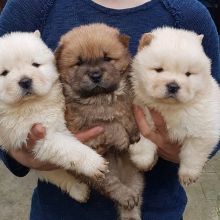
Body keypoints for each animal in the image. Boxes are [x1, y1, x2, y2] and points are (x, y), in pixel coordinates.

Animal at [0, 31, 108, 202]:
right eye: (4, 73)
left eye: (35, 64)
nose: (25, 81)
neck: (32, 104)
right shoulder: (36, 136)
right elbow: (69, 148)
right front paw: (94, 162)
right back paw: (79, 189)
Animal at [55, 23, 144, 220]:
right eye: (79, 63)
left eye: (107, 58)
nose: (95, 75)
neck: (102, 97)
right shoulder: (82, 130)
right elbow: (108, 124)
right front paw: (123, 138)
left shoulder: (128, 101)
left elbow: (129, 112)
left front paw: (134, 132)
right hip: (101, 168)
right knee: (111, 186)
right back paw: (126, 196)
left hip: (134, 175)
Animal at [130, 27, 220, 186]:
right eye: (158, 69)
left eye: (188, 73)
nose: (173, 86)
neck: (169, 108)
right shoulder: (141, 116)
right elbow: (144, 142)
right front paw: (143, 162)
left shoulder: (204, 130)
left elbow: (192, 153)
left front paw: (188, 175)